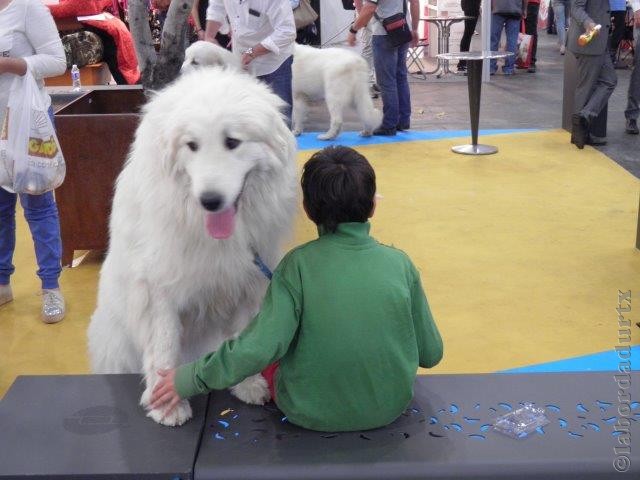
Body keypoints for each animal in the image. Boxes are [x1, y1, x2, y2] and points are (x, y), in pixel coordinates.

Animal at [87, 67, 298, 428]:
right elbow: (164, 347)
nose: (210, 201)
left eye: (232, 142)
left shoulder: (247, 281)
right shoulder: (158, 291)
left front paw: (248, 384)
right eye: (192, 146)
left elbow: (244, 338)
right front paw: (166, 404)